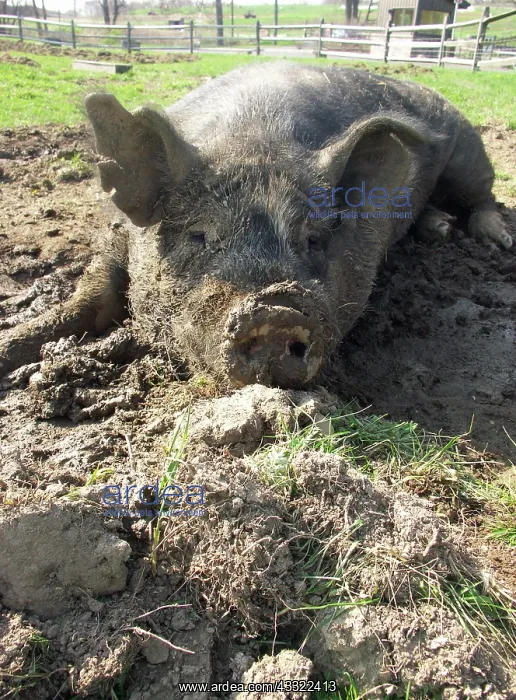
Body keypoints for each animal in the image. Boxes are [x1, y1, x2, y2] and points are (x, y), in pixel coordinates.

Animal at [0, 62, 512, 388]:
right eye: (199, 235)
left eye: (313, 239)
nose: (275, 311)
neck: (254, 138)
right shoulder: (118, 233)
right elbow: (90, 297)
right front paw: (11, 346)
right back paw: (441, 227)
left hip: (469, 149)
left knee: (483, 196)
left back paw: (494, 240)